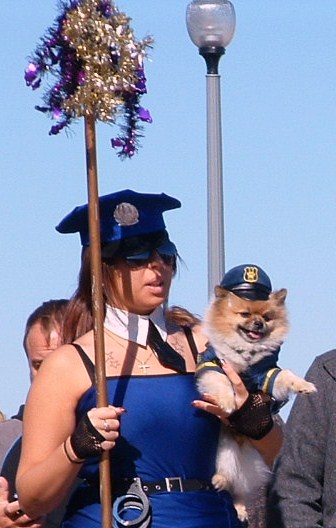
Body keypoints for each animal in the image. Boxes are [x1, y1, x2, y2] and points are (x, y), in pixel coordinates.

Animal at [196, 266, 316, 520]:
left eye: (267, 317)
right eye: (244, 314)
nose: (259, 323)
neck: (247, 355)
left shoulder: (267, 374)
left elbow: (287, 375)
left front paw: (304, 385)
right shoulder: (211, 366)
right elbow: (221, 381)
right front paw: (228, 401)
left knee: (239, 487)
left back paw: (240, 506)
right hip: (223, 449)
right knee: (227, 476)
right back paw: (220, 480)